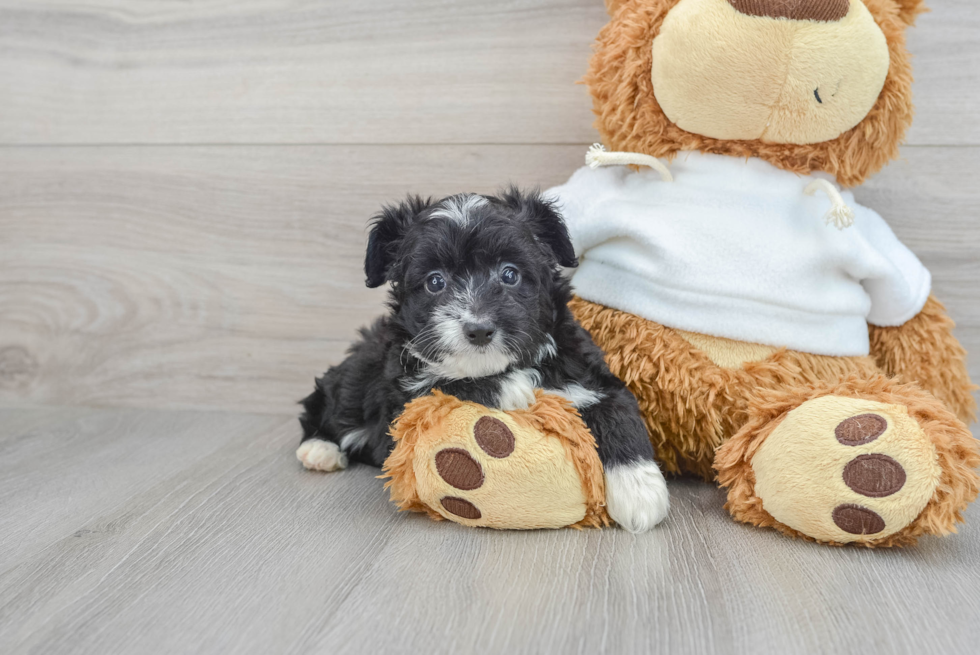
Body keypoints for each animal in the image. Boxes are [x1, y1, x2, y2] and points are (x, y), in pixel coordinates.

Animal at [298, 188, 668, 532]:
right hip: (357, 374)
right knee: (326, 400)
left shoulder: (587, 372)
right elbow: (445, 383)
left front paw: (640, 491)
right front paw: (514, 389)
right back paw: (319, 449)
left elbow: (618, 409)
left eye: (510, 274)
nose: (478, 330)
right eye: (435, 281)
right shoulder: (402, 396)